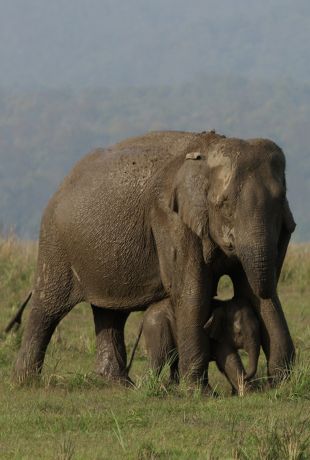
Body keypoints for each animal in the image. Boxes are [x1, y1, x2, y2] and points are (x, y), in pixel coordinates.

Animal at [13, 131, 296, 386]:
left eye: (281, 199)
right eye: (224, 205)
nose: (263, 381)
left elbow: (252, 291)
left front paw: (282, 384)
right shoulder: (171, 220)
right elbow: (192, 292)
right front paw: (198, 391)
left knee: (111, 313)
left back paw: (118, 383)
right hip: (54, 243)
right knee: (48, 307)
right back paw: (26, 382)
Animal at [131, 298, 262, 396]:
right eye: (239, 333)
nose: (246, 376)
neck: (224, 305)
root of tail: (145, 314)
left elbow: (225, 363)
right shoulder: (216, 336)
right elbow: (229, 360)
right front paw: (250, 393)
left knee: (173, 360)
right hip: (157, 328)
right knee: (159, 359)